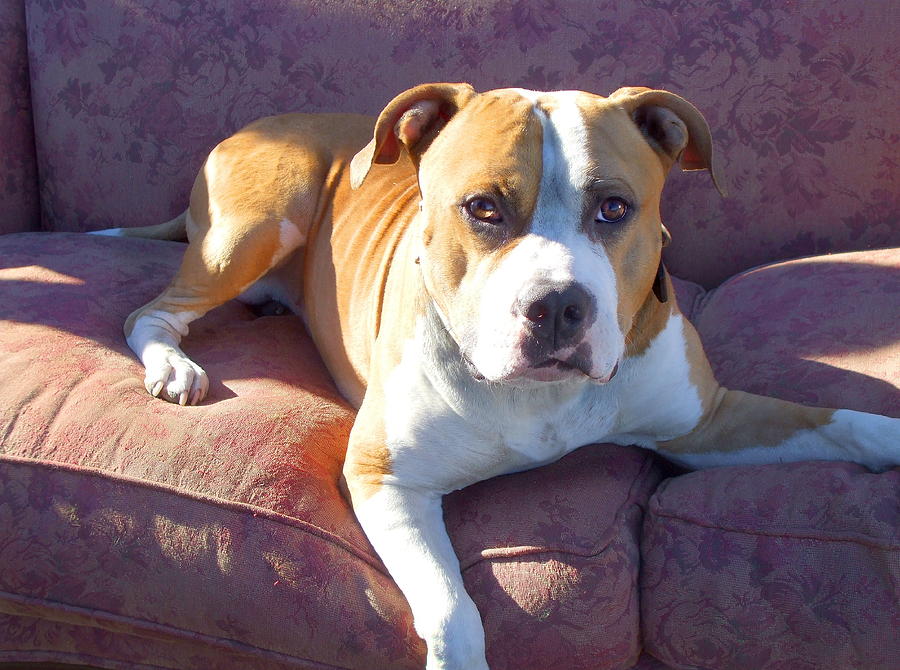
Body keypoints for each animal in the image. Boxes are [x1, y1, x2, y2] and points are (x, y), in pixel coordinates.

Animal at [100, 84, 900, 670]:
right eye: (482, 208)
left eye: (615, 207)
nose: (558, 306)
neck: (544, 396)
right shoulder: (387, 479)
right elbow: (454, 609)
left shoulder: (709, 423)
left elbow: (845, 422)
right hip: (258, 224)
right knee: (152, 311)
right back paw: (174, 365)